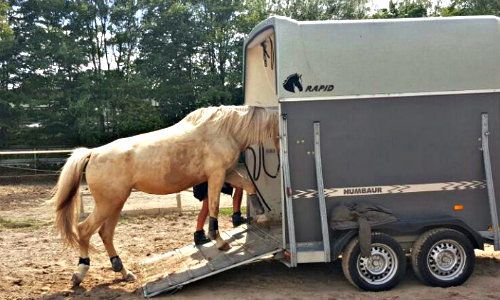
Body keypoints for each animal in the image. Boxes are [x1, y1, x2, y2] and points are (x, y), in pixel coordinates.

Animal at [54, 105, 282, 286]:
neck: (226, 130)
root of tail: (93, 153)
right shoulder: (217, 175)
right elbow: (215, 206)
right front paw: (219, 241)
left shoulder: (228, 173)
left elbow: (248, 185)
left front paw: (261, 213)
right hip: (107, 204)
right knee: (84, 230)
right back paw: (80, 273)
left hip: (116, 203)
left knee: (105, 234)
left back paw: (124, 272)